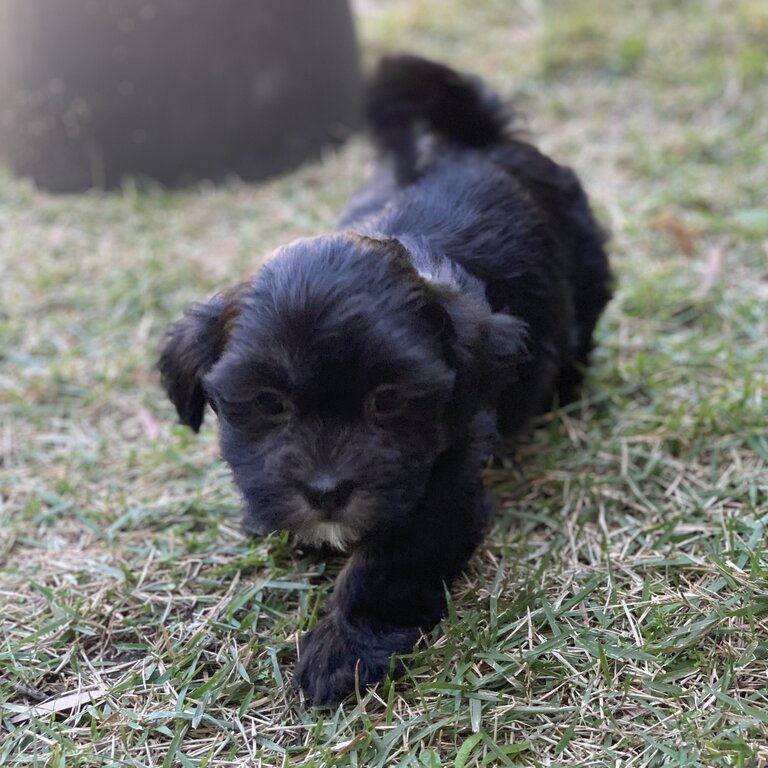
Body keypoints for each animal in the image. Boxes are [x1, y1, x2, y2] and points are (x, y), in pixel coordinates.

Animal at [158, 54, 612, 704]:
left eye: (388, 401)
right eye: (269, 403)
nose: (325, 491)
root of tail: (476, 139)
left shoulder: (437, 490)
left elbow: (385, 565)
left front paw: (341, 651)